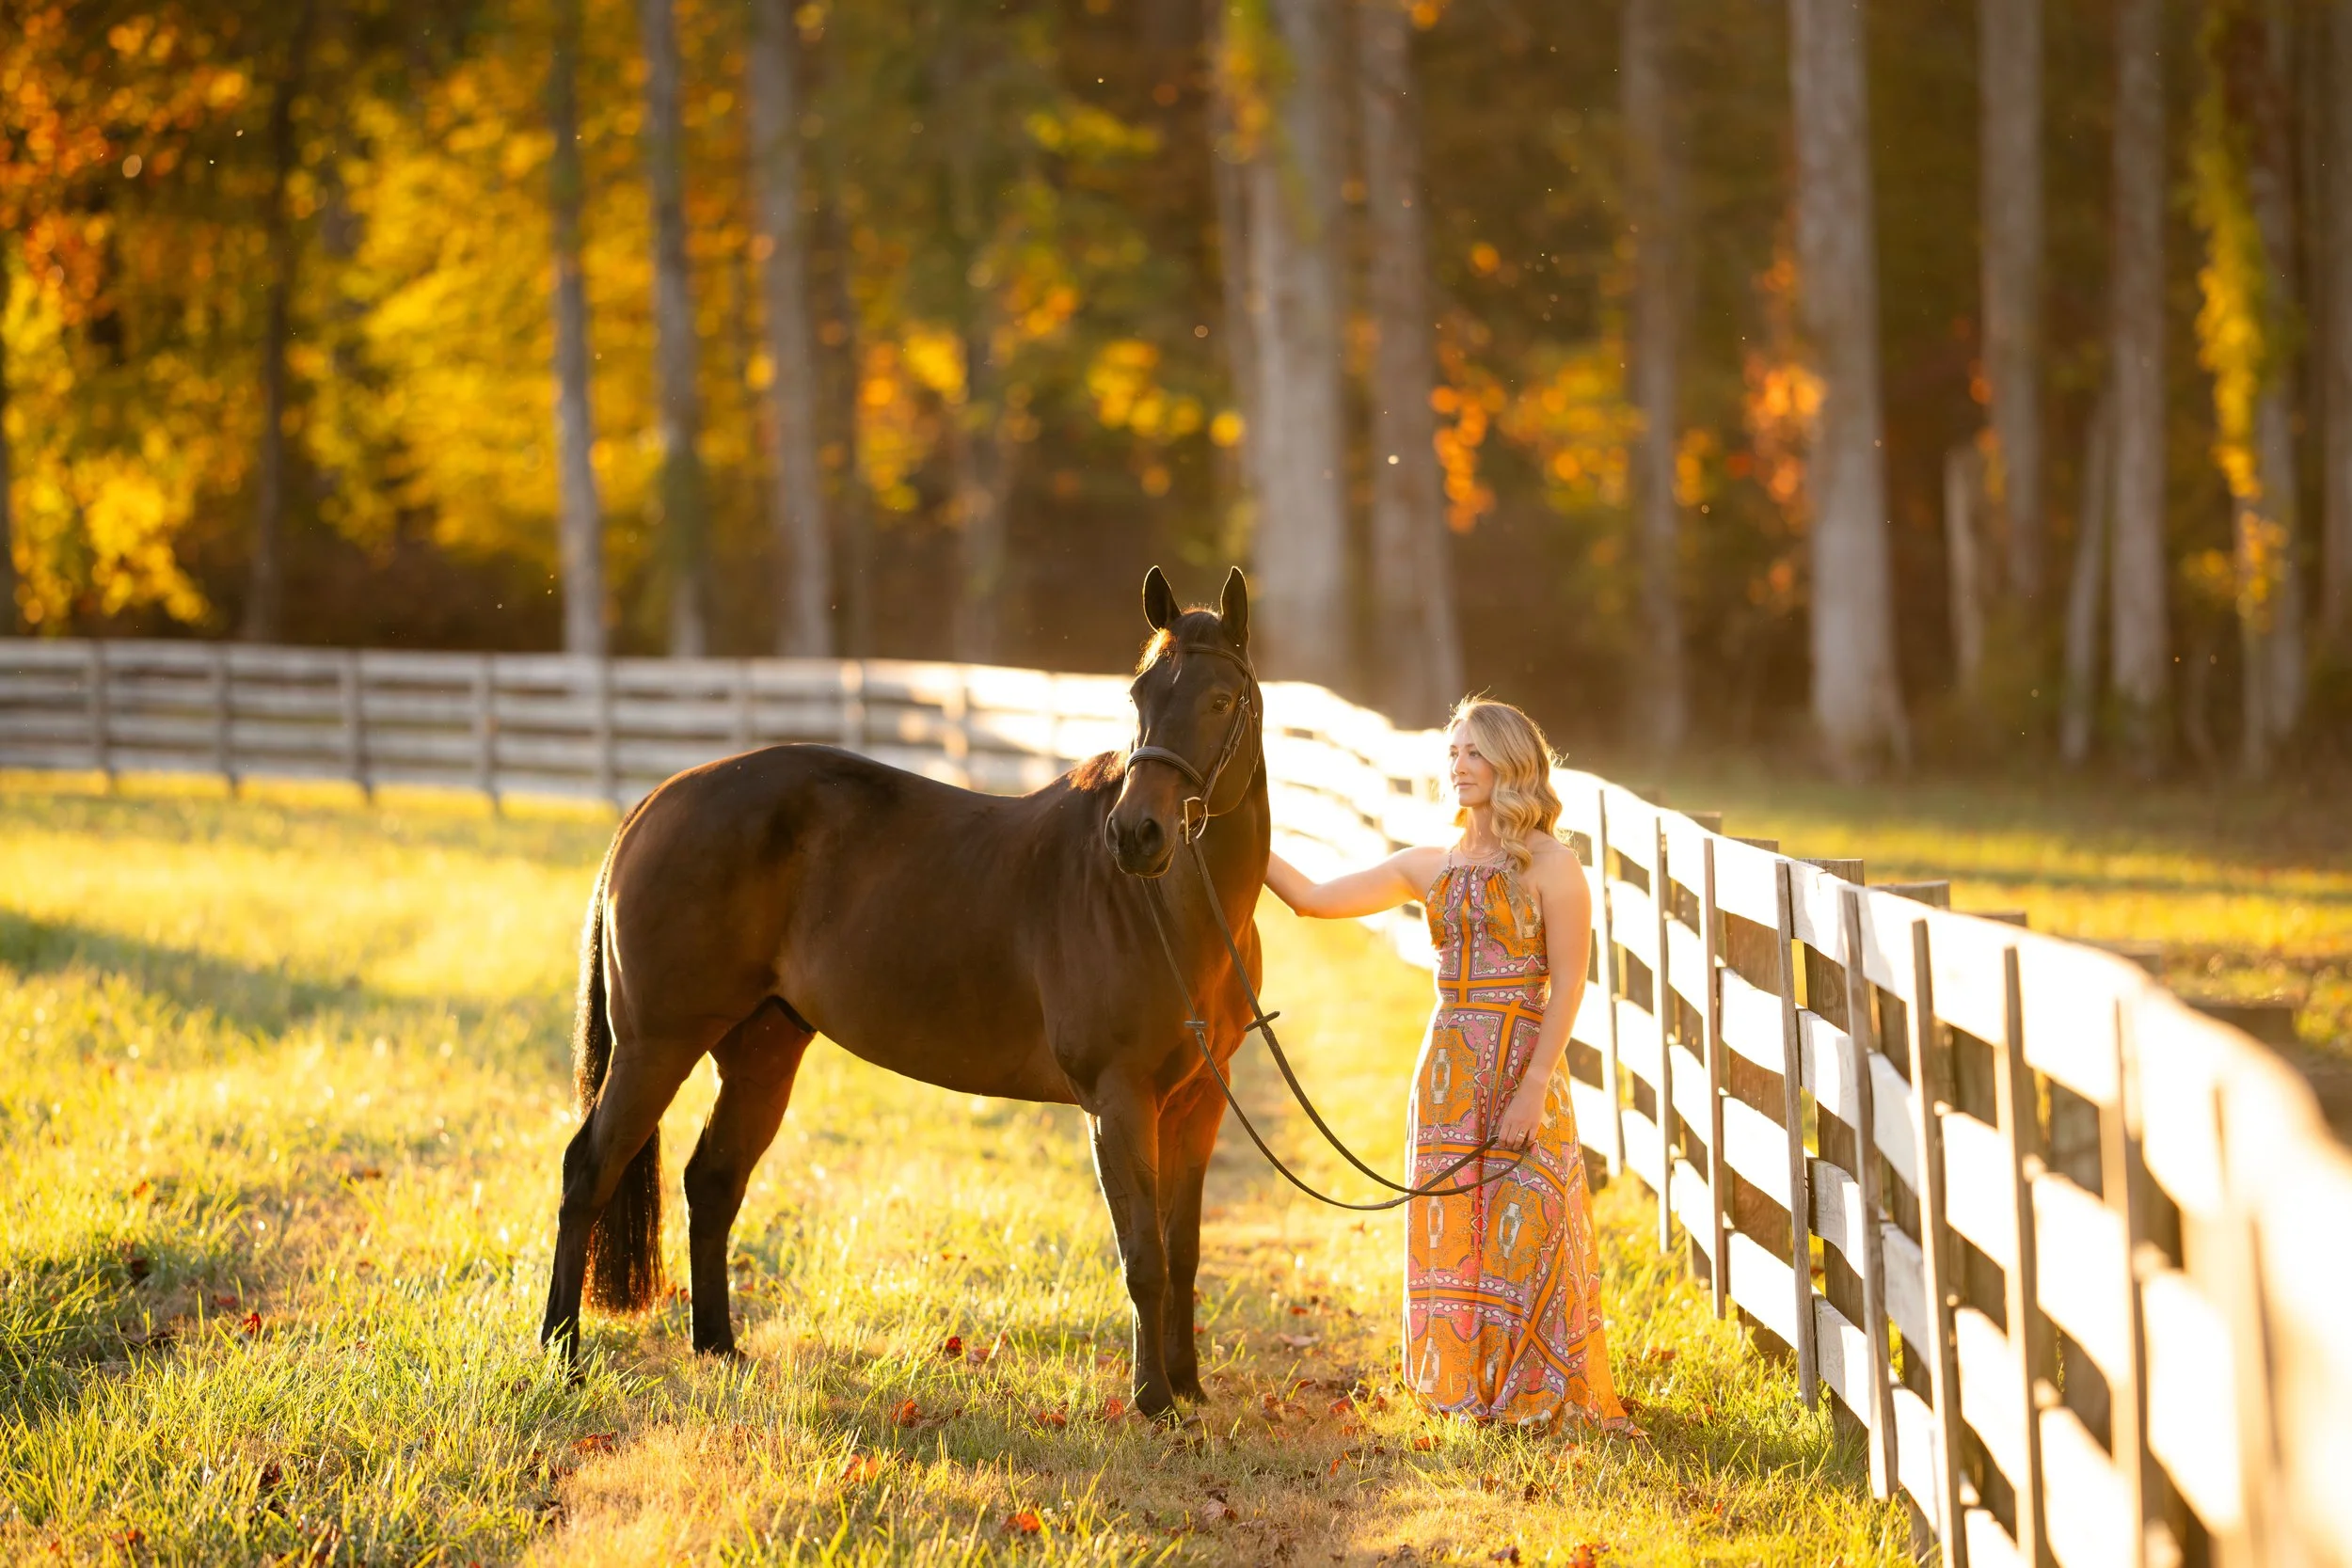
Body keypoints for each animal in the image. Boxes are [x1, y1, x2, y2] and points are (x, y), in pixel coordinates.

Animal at [538, 566, 1268, 1417]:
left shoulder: (1197, 1104)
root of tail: (654, 802)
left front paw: (1188, 1386)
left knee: (711, 1181)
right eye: (1138, 694)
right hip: (656, 1046)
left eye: (1221, 698)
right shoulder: (1119, 1101)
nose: (1136, 834)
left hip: (760, 1053)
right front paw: (1152, 1400)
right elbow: (1143, 1252)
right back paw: (562, 1352)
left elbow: (1183, 1250)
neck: (1168, 911)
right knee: (589, 1171)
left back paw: (716, 1344)